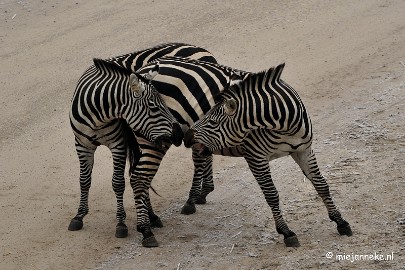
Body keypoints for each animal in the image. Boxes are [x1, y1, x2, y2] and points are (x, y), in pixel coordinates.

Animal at [68, 42, 218, 238]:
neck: (98, 116)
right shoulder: (82, 145)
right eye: (153, 107)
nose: (177, 134)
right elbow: (84, 180)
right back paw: (203, 192)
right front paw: (79, 216)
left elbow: (118, 182)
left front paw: (122, 224)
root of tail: (200, 49)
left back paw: (193, 199)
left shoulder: (118, 143)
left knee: (198, 156)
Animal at [185, 63, 352, 247]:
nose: (186, 136)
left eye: (213, 122)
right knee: (198, 162)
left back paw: (201, 195)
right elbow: (271, 195)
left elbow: (321, 184)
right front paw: (286, 232)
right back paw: (190, 202)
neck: (285, 126)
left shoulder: (303, 149)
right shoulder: (255, 157)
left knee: (203, 158)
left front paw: (340, 221)